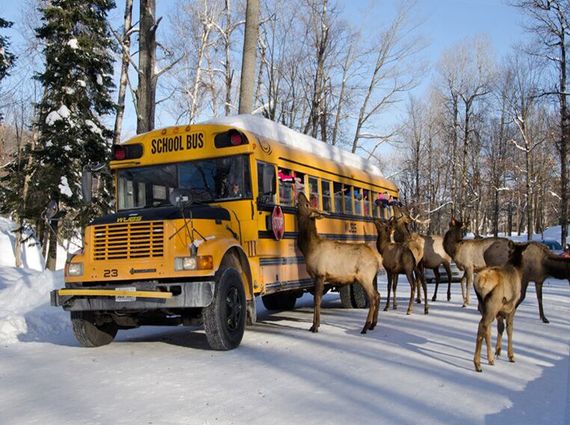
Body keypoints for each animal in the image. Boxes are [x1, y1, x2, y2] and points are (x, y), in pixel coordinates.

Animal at [296, 193, 380, 334]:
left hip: (365, 276)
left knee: (373, 297)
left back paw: (365, 327)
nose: (300, 194)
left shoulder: (320, 274)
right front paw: (314, 325)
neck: (308, 248)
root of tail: (378, 258)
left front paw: (315, 326)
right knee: (378, 295)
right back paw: (373, 325)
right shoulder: (315, 277)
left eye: (307, 204)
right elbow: (316, 299)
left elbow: (317, 300)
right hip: (369, 277)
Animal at [468, 242, 524, 372]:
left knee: (485, 329)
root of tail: (481, 280)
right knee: (482, 326)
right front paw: (511, 356)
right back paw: (478, 364)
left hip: (484, 306)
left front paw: (497, 352)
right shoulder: (512, 307)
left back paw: (488, 360)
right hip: (492, 305)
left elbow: (499, 328)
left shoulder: (499, 312)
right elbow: (509, 329)